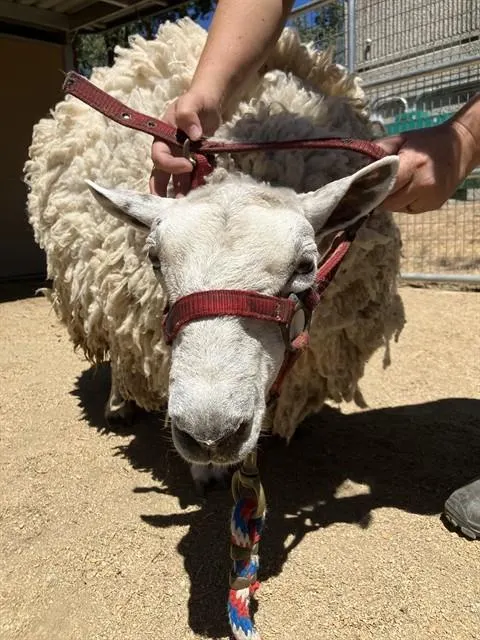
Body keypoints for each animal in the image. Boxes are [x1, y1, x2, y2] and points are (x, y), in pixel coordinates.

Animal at [24, 17, 405, 478]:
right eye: (154, 259)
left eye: (305, 265)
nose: (209, 434)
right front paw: (207, 472)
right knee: (118, 350)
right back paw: (119, 405)